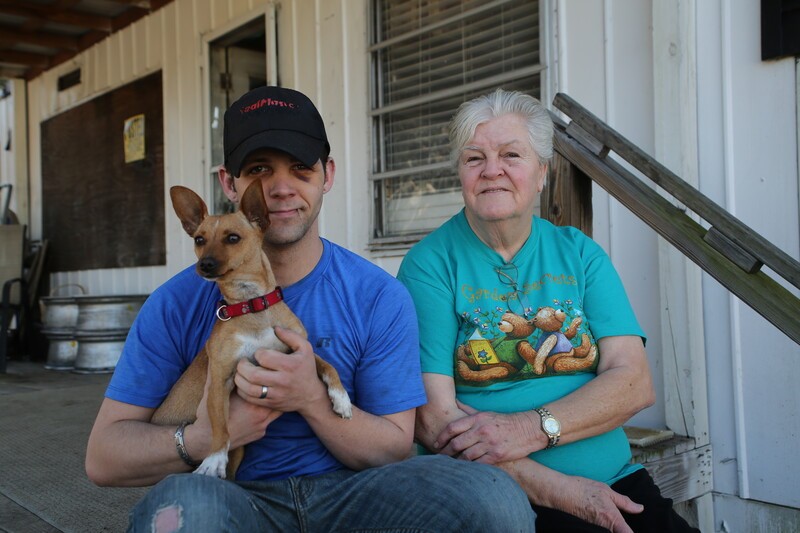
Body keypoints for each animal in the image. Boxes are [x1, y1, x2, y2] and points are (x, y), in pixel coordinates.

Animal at [152, 182, 352, 478]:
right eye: (199, 240)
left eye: (233, 238)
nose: (204, 265)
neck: (251, 305)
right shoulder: (220, 381)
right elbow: (220, 427)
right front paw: (213, 459)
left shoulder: (299, 350)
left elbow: (328, 366)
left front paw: (341, 398)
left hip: (240, 453)